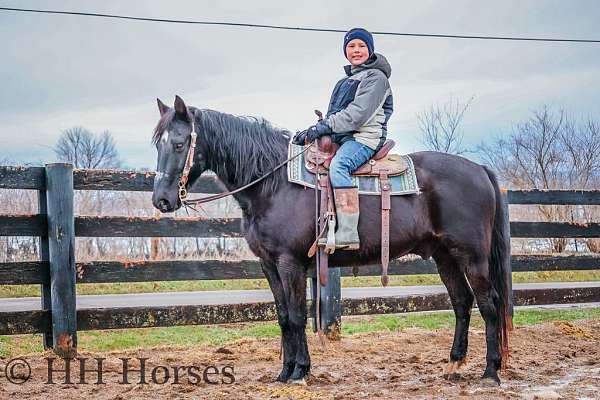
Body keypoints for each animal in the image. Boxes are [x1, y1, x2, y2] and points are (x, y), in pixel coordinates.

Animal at [150, 96, 510, 384]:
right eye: (158, 144)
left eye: (179, 144)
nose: (162, 200)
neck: (272, 184)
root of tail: (479, 169)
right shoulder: (269, 264)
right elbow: (283, 317)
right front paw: (285, 372)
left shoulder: (290, 263)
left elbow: (297, 316)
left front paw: (299, 372)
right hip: (445, 255)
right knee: (461, 302)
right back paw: (454, 364)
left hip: (472, 256)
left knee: (489, 303)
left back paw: (491, 372)